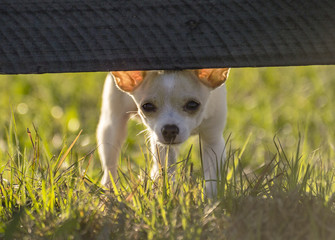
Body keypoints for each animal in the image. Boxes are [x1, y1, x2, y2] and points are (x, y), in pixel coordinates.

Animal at [96, 68, 230, 196]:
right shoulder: (162, 144)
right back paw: (109, 190)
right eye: (147, 106)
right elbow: (168, 169)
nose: (170, 130)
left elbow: (212, 177)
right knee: (110, 164)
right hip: (112, 127)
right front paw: (171, 194)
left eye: (192, 105)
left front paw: (210, 200)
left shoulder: (212, 140)